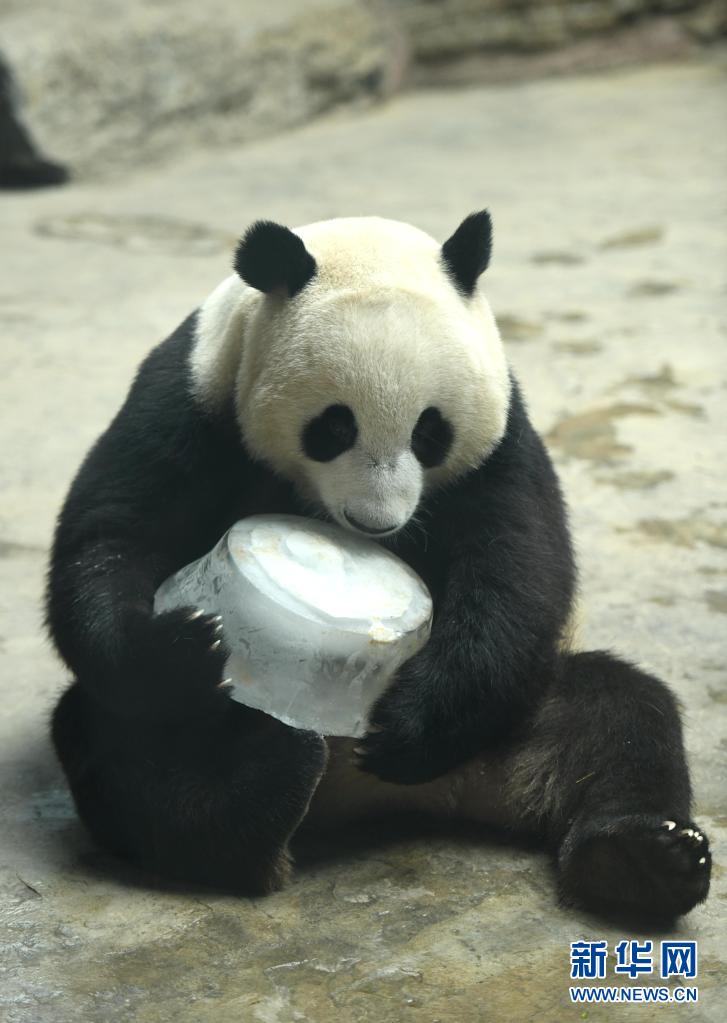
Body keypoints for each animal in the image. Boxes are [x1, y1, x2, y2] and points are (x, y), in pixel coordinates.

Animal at [45, 211, 711, 924]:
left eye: (430, 432)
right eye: (333, 427)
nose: (374, 523)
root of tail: (401, 795)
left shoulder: (501, 436)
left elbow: (518, 569)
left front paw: (408, 727)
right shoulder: (192, 397)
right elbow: (113, 534)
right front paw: (185, 642)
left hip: (517, 718)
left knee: (617, 714)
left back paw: (641, 861)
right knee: (124, 747)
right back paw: (259, 794)